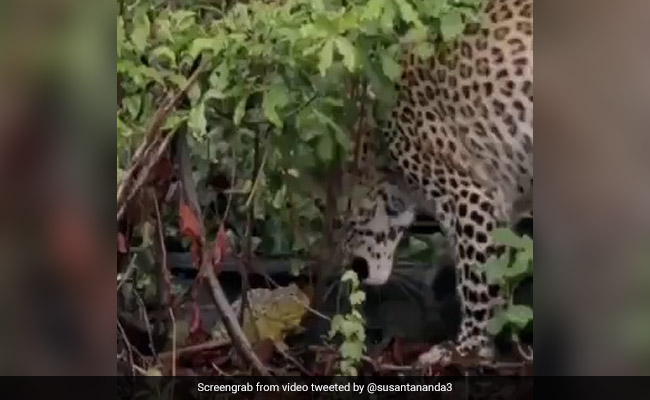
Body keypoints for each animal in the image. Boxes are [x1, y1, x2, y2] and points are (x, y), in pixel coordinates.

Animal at [342, 0, 533, 366]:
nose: (356, 271)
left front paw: (467, 348)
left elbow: (476, 279)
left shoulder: (470, 198)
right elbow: (500, 274)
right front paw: (501, 341)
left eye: (351, 225)